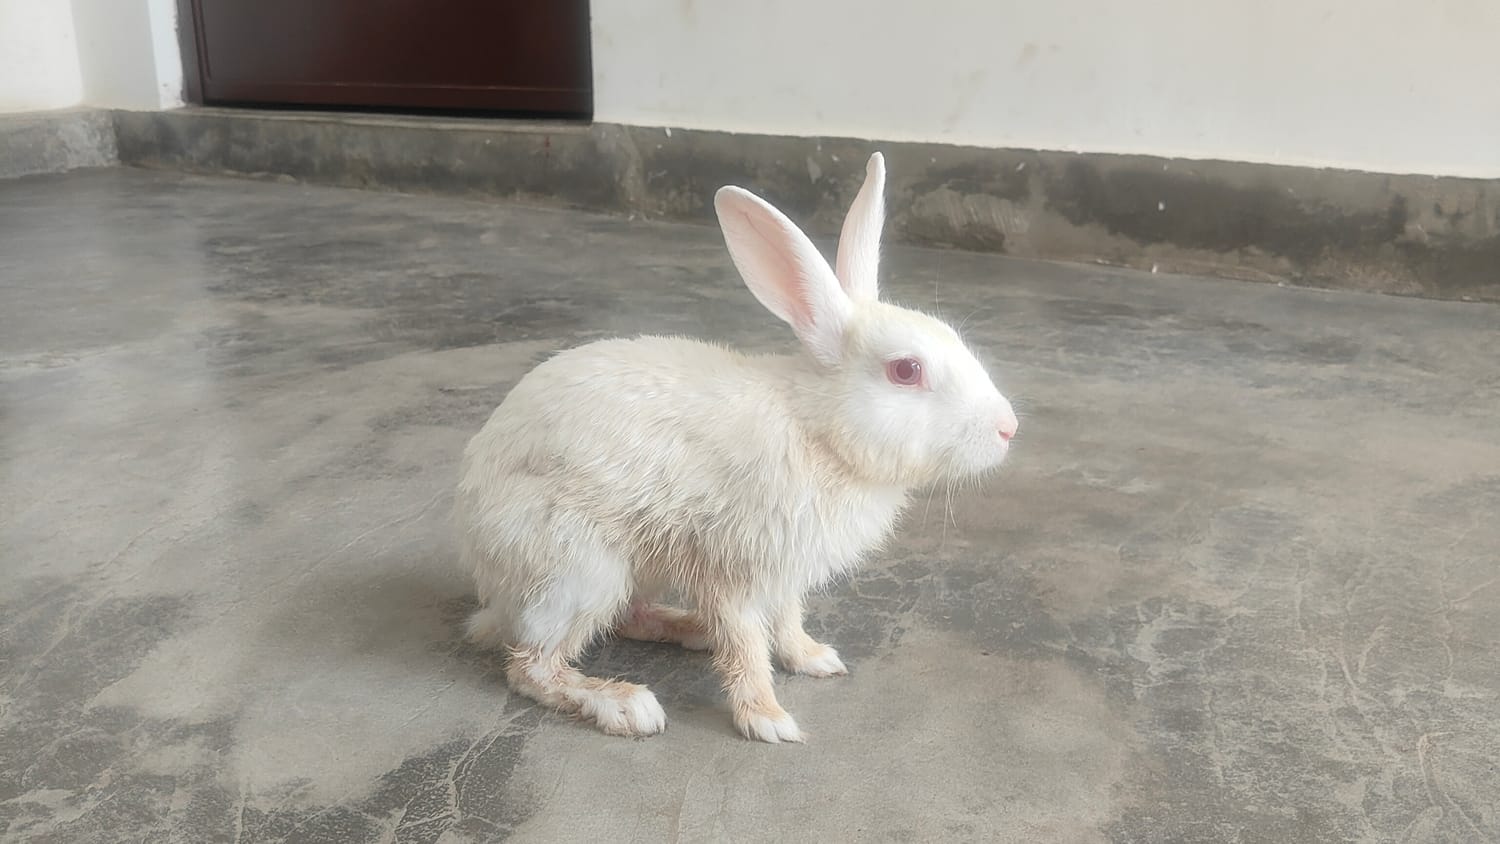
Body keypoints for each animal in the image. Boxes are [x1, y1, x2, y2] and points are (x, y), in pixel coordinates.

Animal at [454, 152, 1019, 743]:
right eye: (906, 371)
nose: (1008, 428)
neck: (817, 428)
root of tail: (487, 576)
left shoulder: (786, 571)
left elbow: (788, 618)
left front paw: (813, 658)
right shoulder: (734, 570)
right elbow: (746, 644)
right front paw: (768, 719)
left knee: (626, 619)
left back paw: (690, 630)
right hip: (579, 568)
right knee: (530, 666)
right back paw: (625, 705)